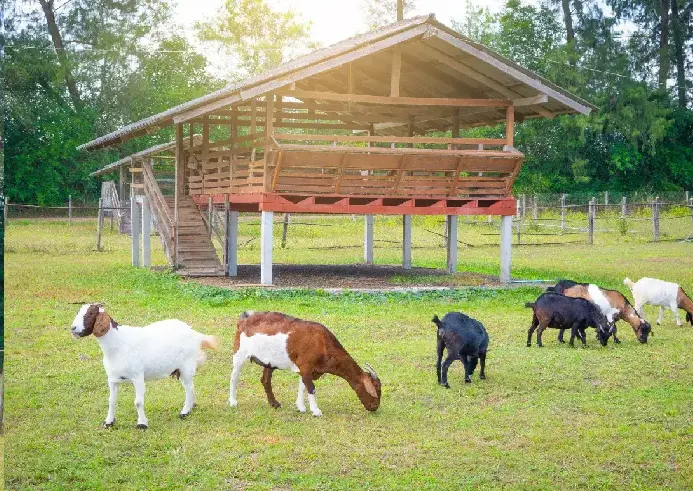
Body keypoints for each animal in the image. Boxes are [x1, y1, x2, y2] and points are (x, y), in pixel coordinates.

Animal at [70, 304, 216, 430]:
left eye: (90, 313)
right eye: (78, 311)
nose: (73, 328)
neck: (118, 343)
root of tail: (195, 334)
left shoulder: (138, 376)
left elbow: (138, 402)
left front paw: (142, 424)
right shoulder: (112, 379)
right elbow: (111, 401)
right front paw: (108, 422)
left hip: (187, 366)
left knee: (189, 389)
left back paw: (184, 412)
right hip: (180, 369)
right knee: (190, 387)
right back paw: (192, 406)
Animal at [228, 314, 382, 418]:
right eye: (375, 389)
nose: (374, 407)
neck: (323, 344)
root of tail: (243, 321)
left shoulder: (307, 370)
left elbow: (303, 386)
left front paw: (301, 407)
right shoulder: (306, 366)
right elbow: (311, 388)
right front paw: (316, 411)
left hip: (269, 361)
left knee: (265, 379)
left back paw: (274, 404)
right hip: (239, 353)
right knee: (234, 377)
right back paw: (233, 402)